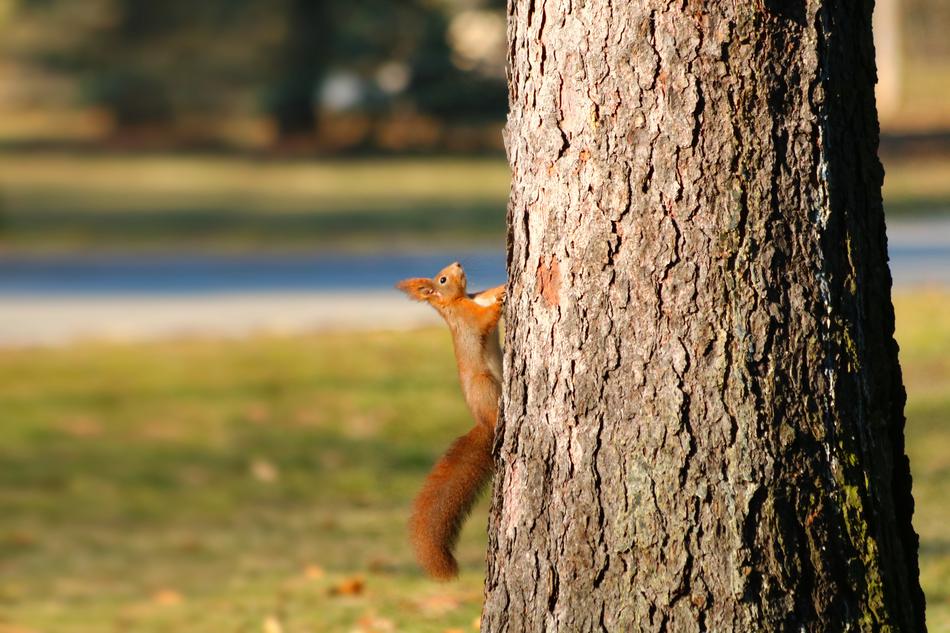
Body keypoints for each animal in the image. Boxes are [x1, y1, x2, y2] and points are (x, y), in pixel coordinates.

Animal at [396, 262, 505, 580]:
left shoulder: (476, 296)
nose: (458, 263)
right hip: (484, 386)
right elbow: (483, 322)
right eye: (443, 280)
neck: (461, 300)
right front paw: (501, 302)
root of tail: (484, 424)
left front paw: (504, 286)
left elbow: (488, 294)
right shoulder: (468, 321)